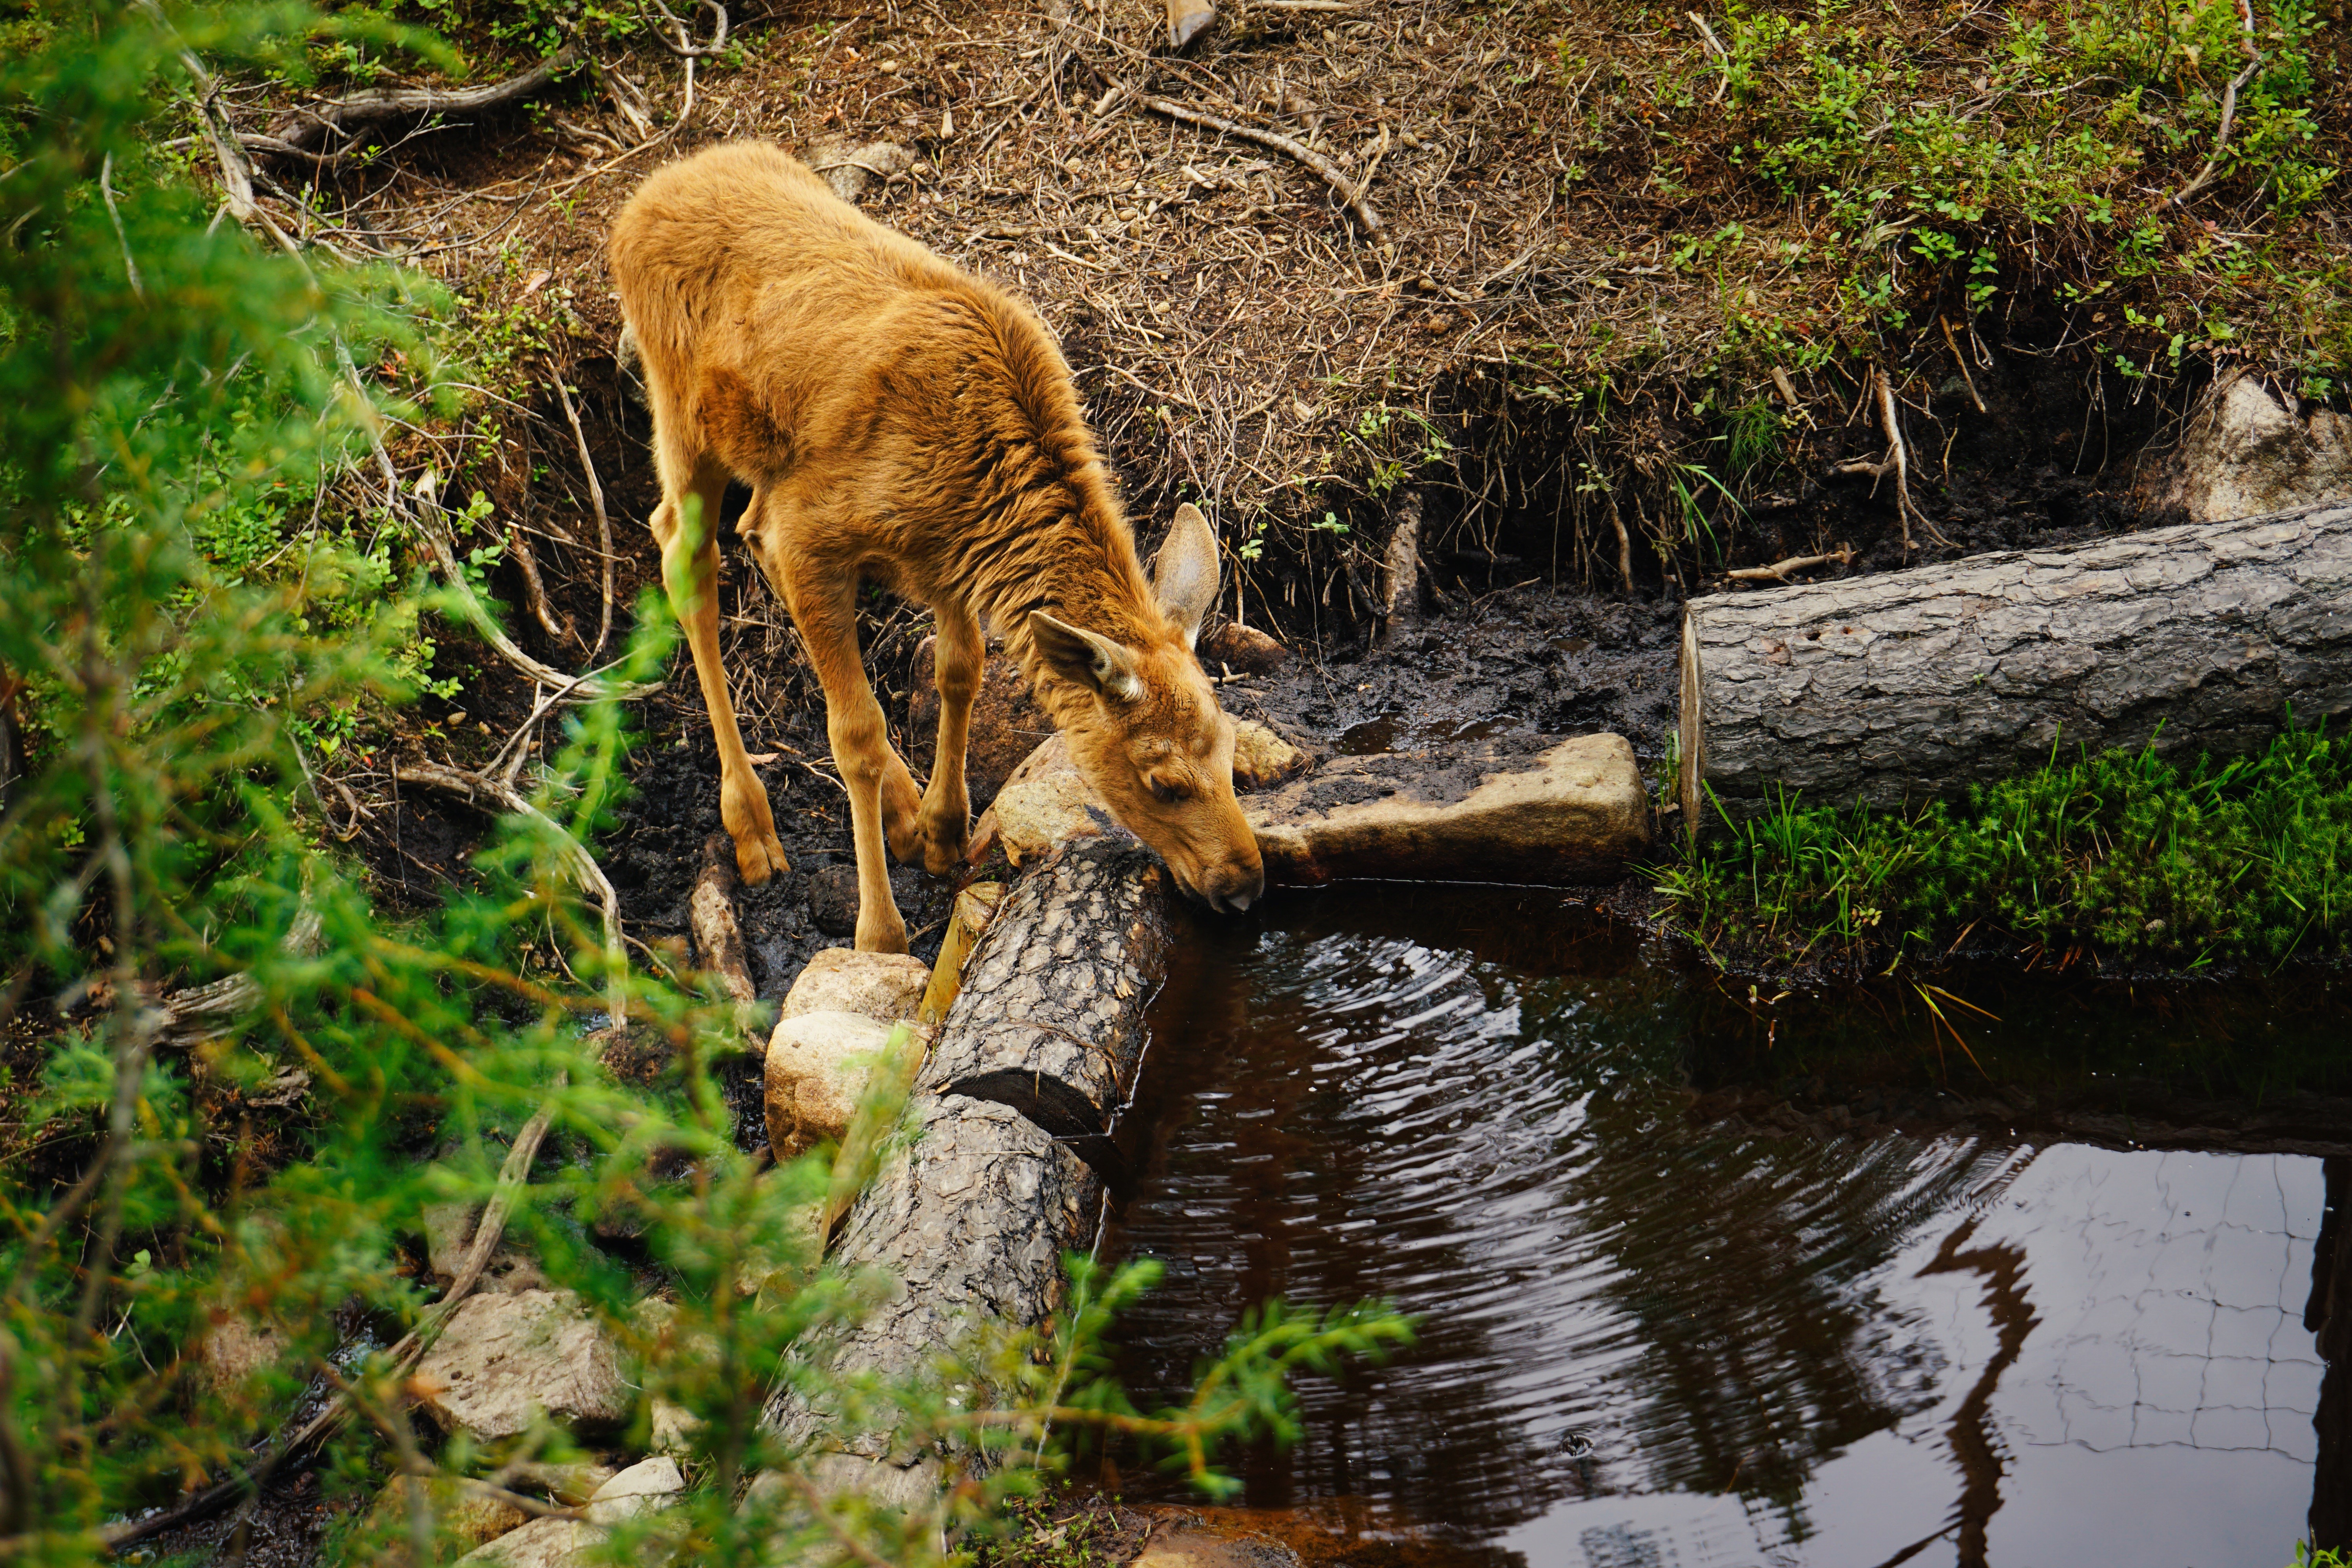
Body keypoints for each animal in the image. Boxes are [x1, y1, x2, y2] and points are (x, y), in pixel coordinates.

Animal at [609, 141, 1265, 954]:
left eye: (1232, 747)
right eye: (1163, 781)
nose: (1244, 885)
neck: (974, 473)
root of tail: (640, 203)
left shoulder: (946, 560)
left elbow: (961, 670)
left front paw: (944, 830)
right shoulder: (815, 535)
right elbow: (854, 731)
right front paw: (880, 930)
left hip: (762, 470)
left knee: (748, 528)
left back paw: (901, 806)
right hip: (683, 417)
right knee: (682, 552)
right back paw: (753, 826)